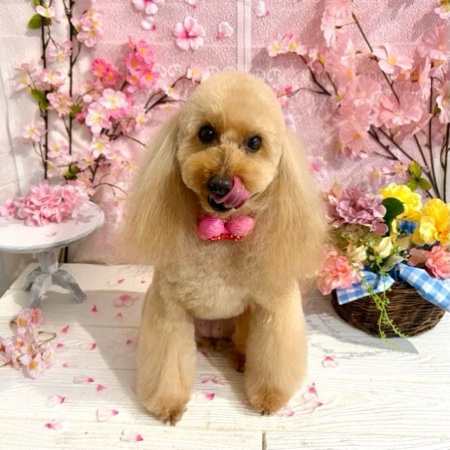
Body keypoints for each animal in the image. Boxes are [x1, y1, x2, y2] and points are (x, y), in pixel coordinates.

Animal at [124, 71, 326, 424]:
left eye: (255, 142)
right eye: (206, 132)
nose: (220, 184)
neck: (224, 234)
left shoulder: (275, 304)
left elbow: (274, 357)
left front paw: (269, 398)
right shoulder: (168, 308)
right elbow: (167, 363)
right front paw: (167, 403)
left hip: (245, 321)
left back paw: (242, 359)